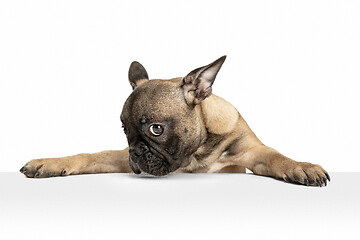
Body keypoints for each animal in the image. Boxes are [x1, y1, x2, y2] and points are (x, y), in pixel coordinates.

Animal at [19, 55, 330, 187]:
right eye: (124, 130)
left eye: (156, 129)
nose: (135, 152)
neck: (198, 153)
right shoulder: (121, 159)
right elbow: (93, 156)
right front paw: (50, 163)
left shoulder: (252, 154)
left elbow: (277, 157)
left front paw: (303, 167)